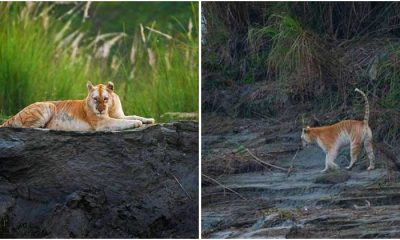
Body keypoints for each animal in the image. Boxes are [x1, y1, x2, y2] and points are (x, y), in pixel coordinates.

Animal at [0, 82, 155, 131]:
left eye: (105, 99)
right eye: (95, 99)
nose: (100, 109)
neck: (109, 108)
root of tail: (11, 117)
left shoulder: (119, 115)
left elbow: (133, 115)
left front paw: (149, 120)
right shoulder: (102, 122)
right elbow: (123, 122)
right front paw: (137, 123)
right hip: (47, 105)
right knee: (27, 128)